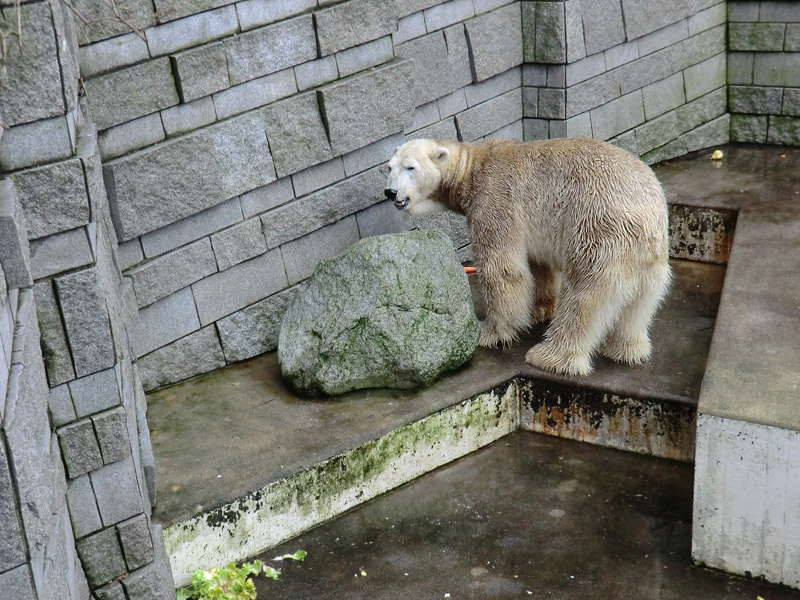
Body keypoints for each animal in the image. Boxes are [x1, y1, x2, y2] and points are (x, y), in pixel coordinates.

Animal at [384, 138, 672, 378]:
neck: (471, 169)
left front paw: (490, 332)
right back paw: (627, 350)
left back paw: (549, 356)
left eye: (410, 167)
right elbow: (537, 264)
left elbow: (502, 269)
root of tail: (647, 218)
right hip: (650, 259)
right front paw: (540, 309)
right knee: (641, 303)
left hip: (599, 233)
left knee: (583, 297)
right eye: (389, 167)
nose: (390, 192)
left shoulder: (494, 201)